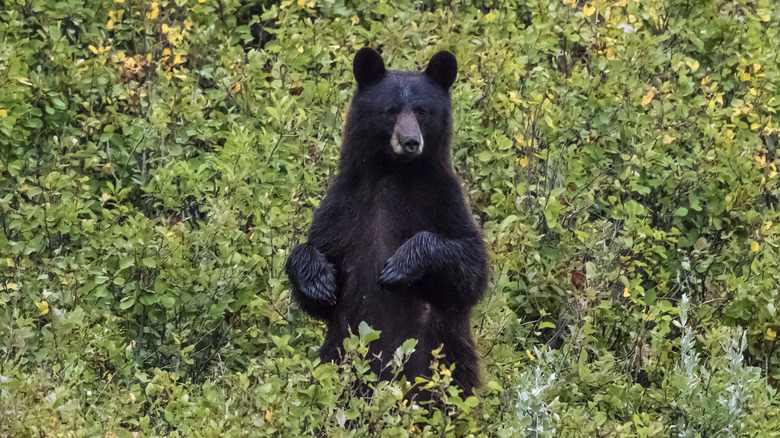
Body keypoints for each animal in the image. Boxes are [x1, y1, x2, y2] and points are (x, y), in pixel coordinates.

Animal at [284, 48, 488, 394]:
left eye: (421, 110)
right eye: (390, 110)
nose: (410, 141)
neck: (394, 173)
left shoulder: (443, 200)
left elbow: (471, 268)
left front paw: (400, 265)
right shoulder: (345, 205)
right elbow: (318, 259)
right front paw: (319, 280)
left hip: (442, 360)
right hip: (337, 355)